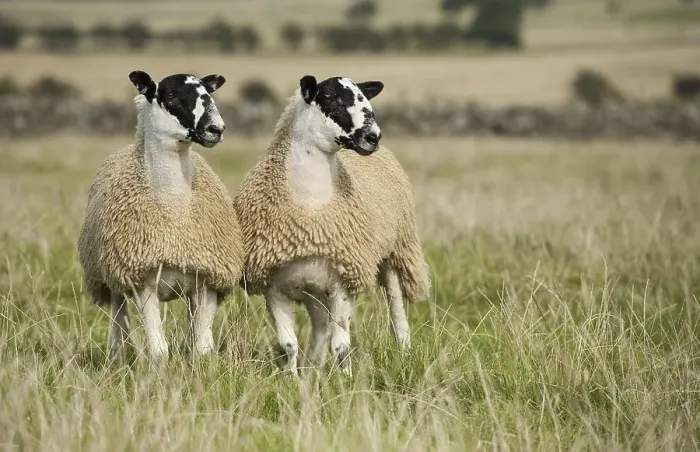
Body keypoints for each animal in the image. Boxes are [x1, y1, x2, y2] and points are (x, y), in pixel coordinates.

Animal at [78, 70, 244, 359]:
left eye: (208, 93)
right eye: (171, 96)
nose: (216, 129)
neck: (174, 210)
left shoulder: (208, 280)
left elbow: (202, 346)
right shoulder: (142, 282)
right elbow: (159, 349)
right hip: (111, 279)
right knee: (118, 317)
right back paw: (117, 356)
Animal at [233, 75, 430, 376]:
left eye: (365, 98)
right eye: (331, 98)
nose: (373, 136)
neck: (312, 209)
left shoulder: (343, 283)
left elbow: (341, 346)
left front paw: (345, 380)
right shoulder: (273, 287)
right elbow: (288, 345)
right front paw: (292, 380)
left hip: (395, 252)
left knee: (396, 311)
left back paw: (405, 353)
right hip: (313, 287)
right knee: (320, 326)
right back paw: (313, 366)